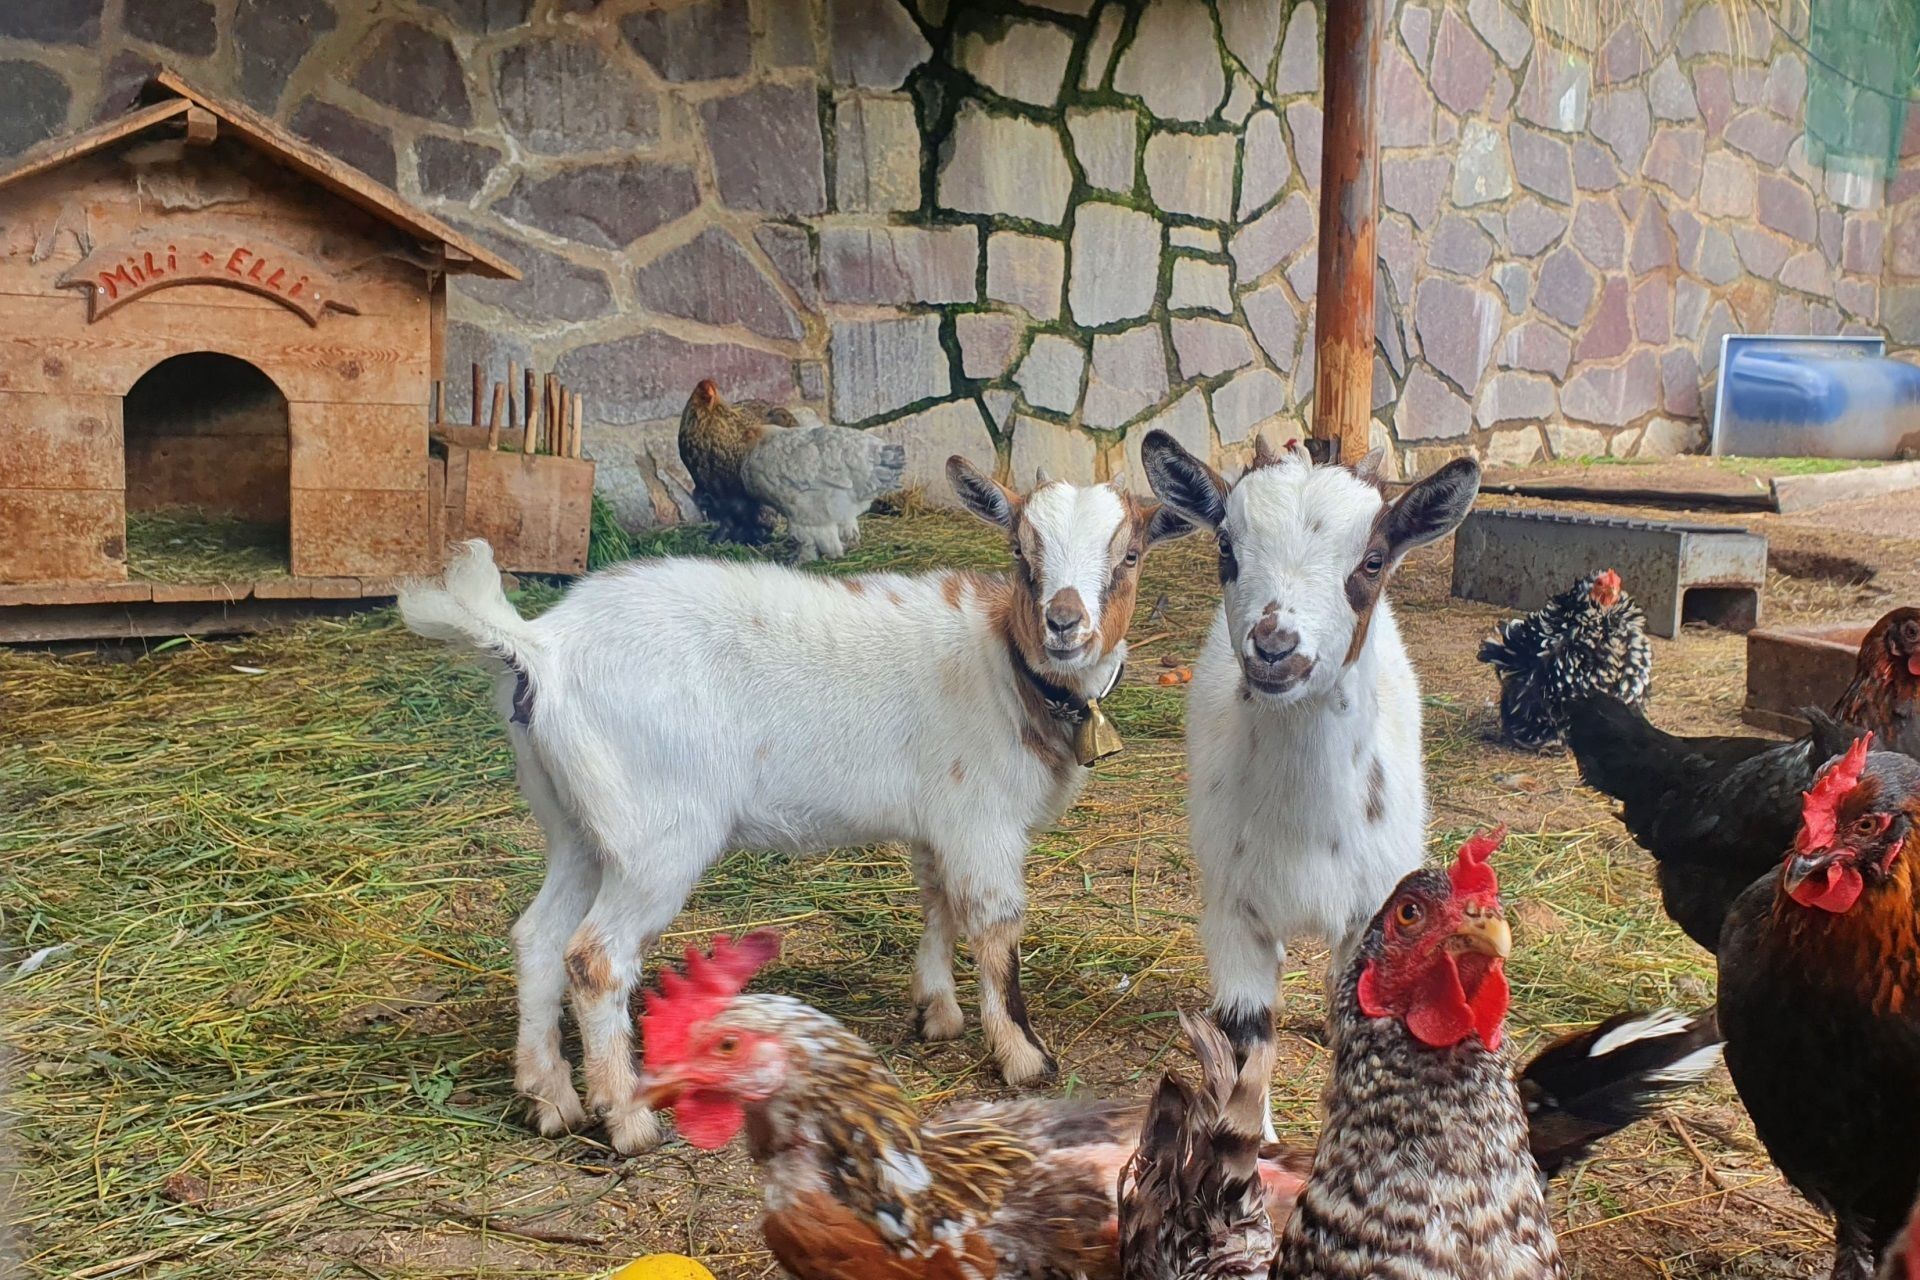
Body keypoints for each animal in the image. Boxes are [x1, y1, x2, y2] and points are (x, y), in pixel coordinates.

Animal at [397, 460, 1190, 1153]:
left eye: (1129, 555)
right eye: (1022, 553)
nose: (1064, 622)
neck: (1006, 668)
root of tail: (543, 646)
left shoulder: (938, 823)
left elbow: (935, 902)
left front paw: (937, 1011)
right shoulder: (982, 822)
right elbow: (995, 933)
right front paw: (1025, 1058)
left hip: (578, 825)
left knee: (536, 937)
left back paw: (551, 1100)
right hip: (658, 838)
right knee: (595, 959)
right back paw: (627, 1120)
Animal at [1140, 431, 1480, 1131]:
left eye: (1373, 560)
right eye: (1225, 545)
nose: (1275, 645)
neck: (1305, 830)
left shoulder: (1375, 911)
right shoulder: (1234, 913)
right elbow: (1247, 1041)